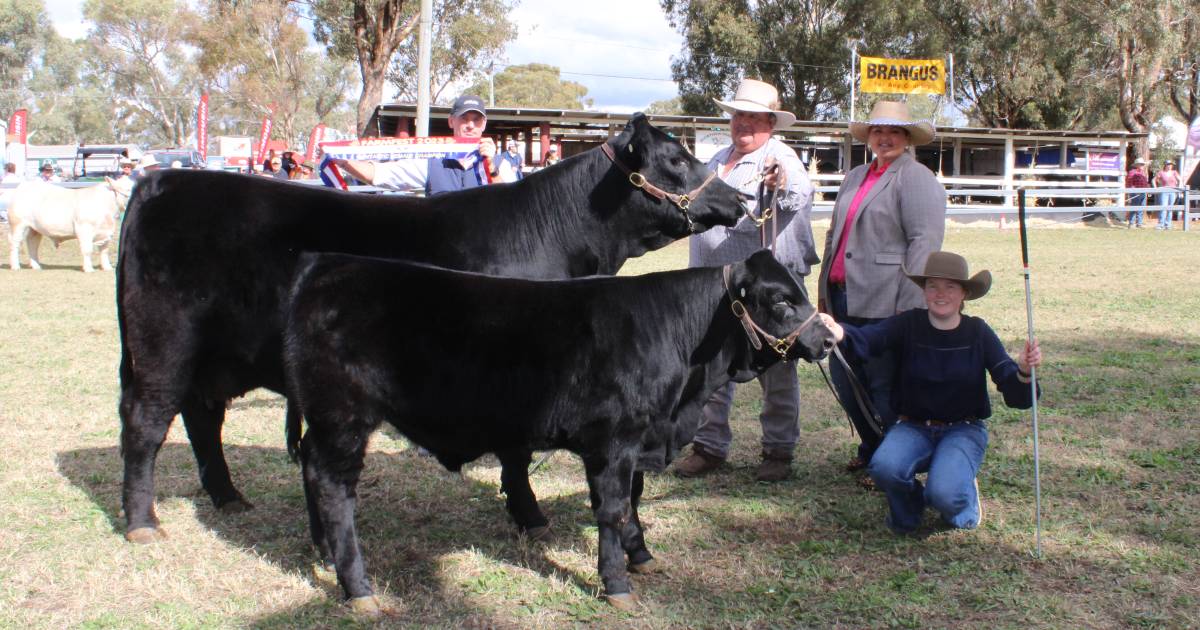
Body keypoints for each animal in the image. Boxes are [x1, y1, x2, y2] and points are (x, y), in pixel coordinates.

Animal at [119, 115, 739, 542]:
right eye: (676, 159)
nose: (735, 198)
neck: (556, 236)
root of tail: (159, 180)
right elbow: (515, 452)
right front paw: (530, 515)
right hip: (162, 345)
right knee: (146, 423)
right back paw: (142, 521)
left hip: (213, 359)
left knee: (202, 420)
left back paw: (228, 498)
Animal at [285, 248, 840, 612]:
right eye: (782, 301)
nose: (830, 338)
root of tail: (327, 266)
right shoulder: (615, 440)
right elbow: (613, 509)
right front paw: (616, 584)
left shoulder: (633, 441)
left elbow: (632, 501)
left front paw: (641, 556)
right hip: (344, 418)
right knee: (335, 489)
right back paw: (358, 588)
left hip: (326, 423)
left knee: (310, 469)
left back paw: (323, 552)